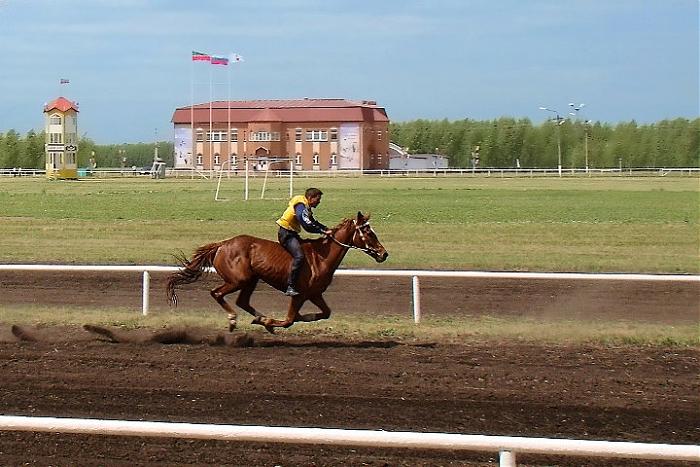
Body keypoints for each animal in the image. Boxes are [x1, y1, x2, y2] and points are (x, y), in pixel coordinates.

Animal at [167, 212, 392, 332]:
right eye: (368, 233)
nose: (384, 253)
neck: (321, 257)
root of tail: (222, 244)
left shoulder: (315, 294)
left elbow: (324, 313)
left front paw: (273, 320)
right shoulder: (299, 294)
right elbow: (289, 319)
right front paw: (271, 322)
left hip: (251, 280)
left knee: (242, 301)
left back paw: (259, 318)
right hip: (238, 280)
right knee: (216, 293)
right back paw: (234, 320)